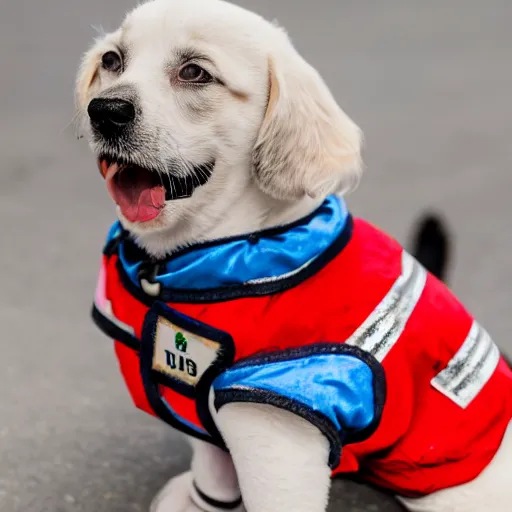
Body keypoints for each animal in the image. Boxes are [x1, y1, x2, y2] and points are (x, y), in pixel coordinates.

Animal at [76, 1, 512, 512]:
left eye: (194, 72)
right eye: (112, 61)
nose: (105, 111)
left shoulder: (277, 438)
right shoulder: (208, 420)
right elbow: (211, 474)